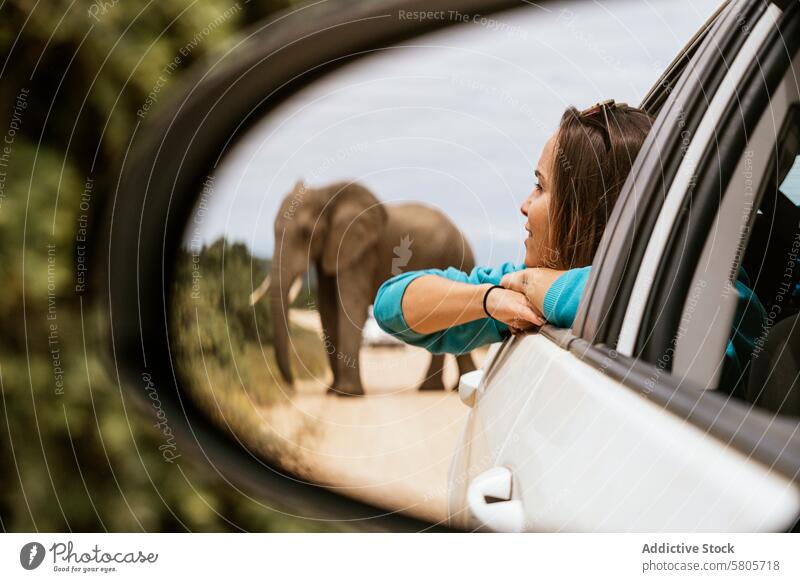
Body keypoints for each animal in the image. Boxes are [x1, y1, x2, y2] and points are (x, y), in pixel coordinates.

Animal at [250, 178, 476, 396]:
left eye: (306, 233)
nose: (293, 385)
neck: (327, 193)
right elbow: (327, 309)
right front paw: (333, 391)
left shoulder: (361, 251)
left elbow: (351, 306)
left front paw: (347, 393)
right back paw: (441, 388)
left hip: (456, 260)